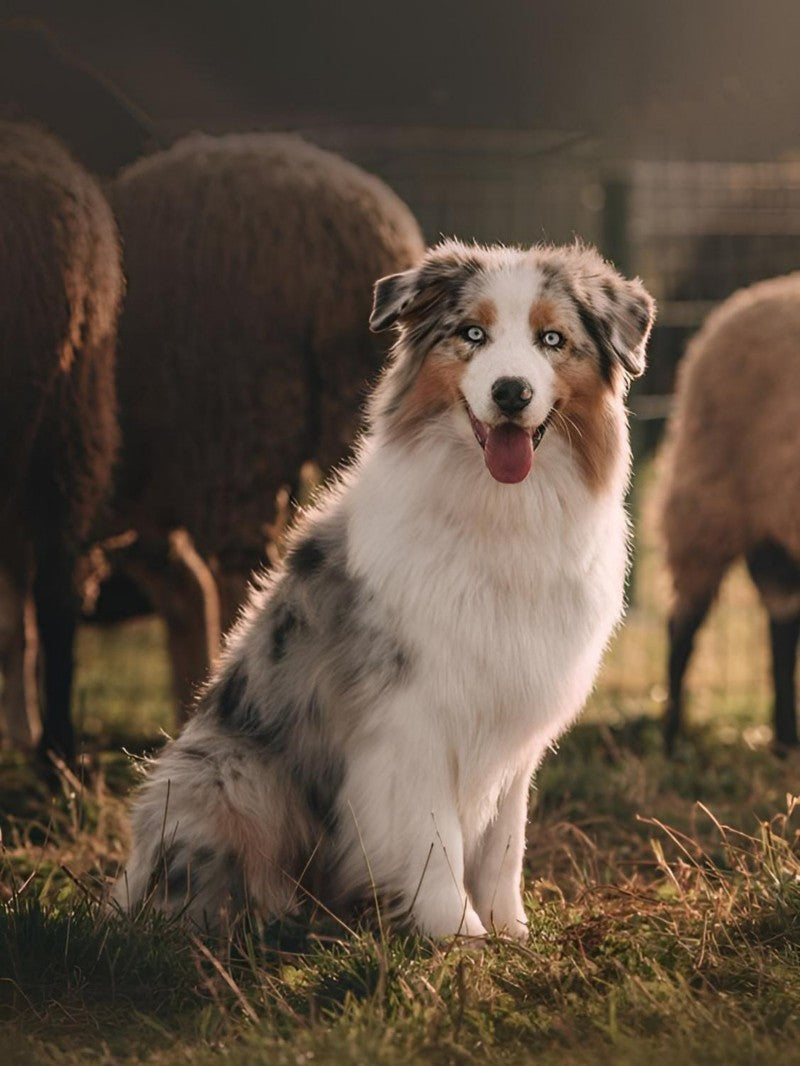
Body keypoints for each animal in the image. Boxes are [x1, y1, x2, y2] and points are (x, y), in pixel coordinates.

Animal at [115, 239, 652, 933]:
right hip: (227, 770)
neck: (499, 510)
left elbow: (505, 843)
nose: (511, 392)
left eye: (552, 339)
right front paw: (458, 935)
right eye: (471, 334)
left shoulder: (514, 715)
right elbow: (434, 839)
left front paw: (511, 933)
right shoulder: (410, 714)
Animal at [661, 275, 800, 754]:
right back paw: (672, 738)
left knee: (781, 627)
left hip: (770, 532)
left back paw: (785, 739)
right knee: (681, 625)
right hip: (705, 507)